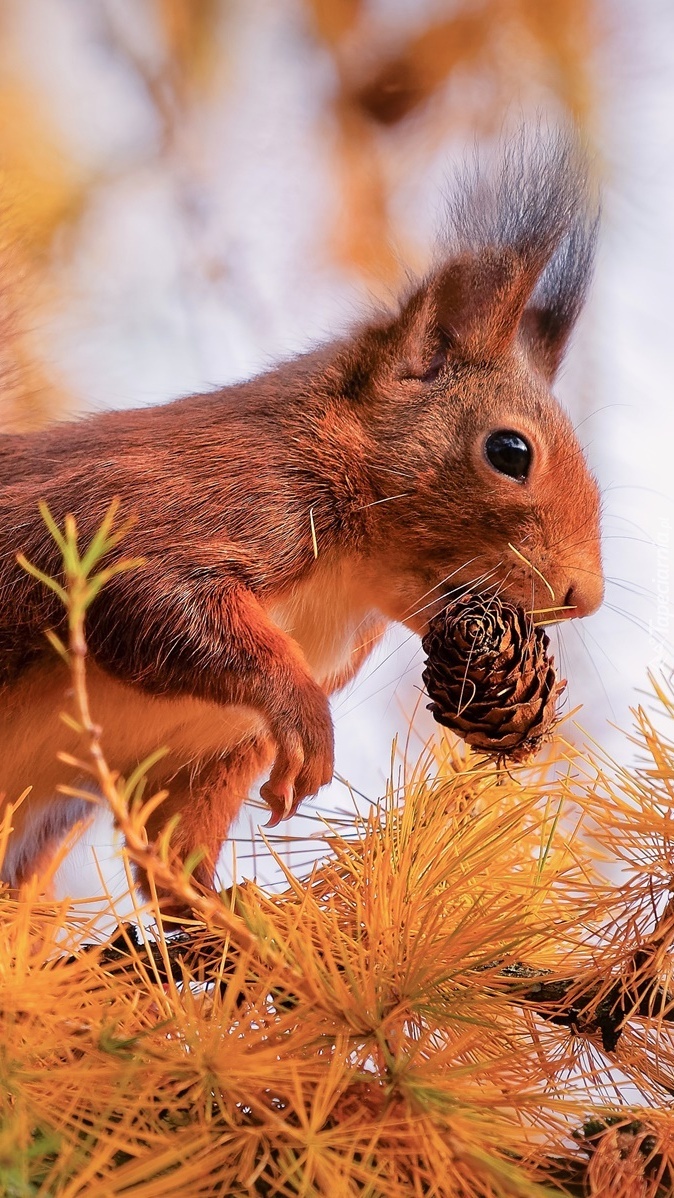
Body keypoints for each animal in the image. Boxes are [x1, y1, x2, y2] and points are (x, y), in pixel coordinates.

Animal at [0, 135, 603, 896]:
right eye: (509, 451)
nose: (586, 597)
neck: (348, 585)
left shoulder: (210, 747)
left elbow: (175, 851)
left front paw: (232, 916)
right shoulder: (195, 499)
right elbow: (151, 593)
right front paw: (306, 717)